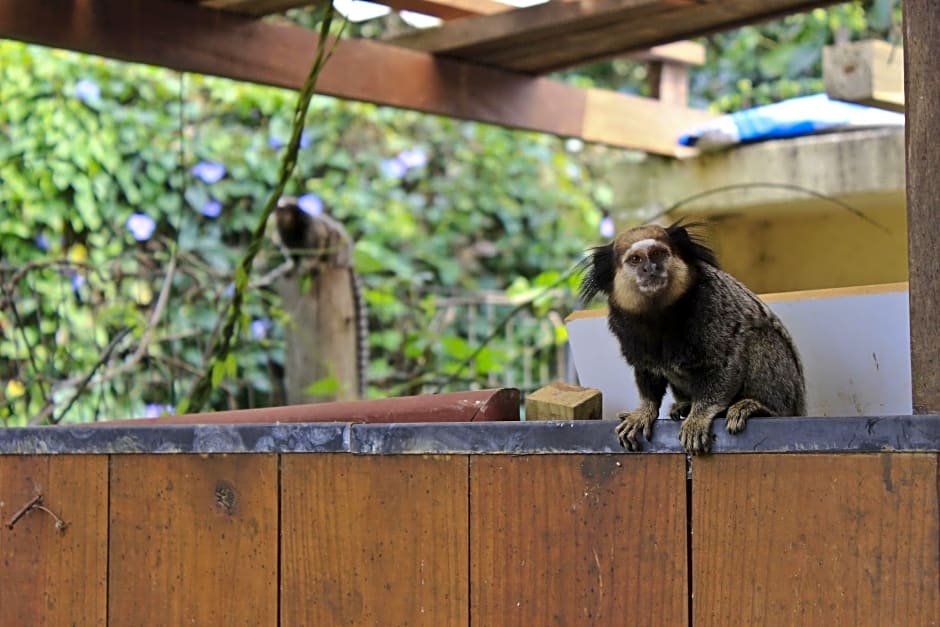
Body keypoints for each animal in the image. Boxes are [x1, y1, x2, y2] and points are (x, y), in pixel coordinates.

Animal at [580, 223, 808, 454]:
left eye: (658, 254)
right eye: (635, 259)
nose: (650, 268)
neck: (659, 313)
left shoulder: (710, 301)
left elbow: (725, 361)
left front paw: (698, 417)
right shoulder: (624, 323)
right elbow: (647, 371)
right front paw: (644, 411)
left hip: (789, 392)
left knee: (759, 337)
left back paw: (759, 407)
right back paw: (685, 405)